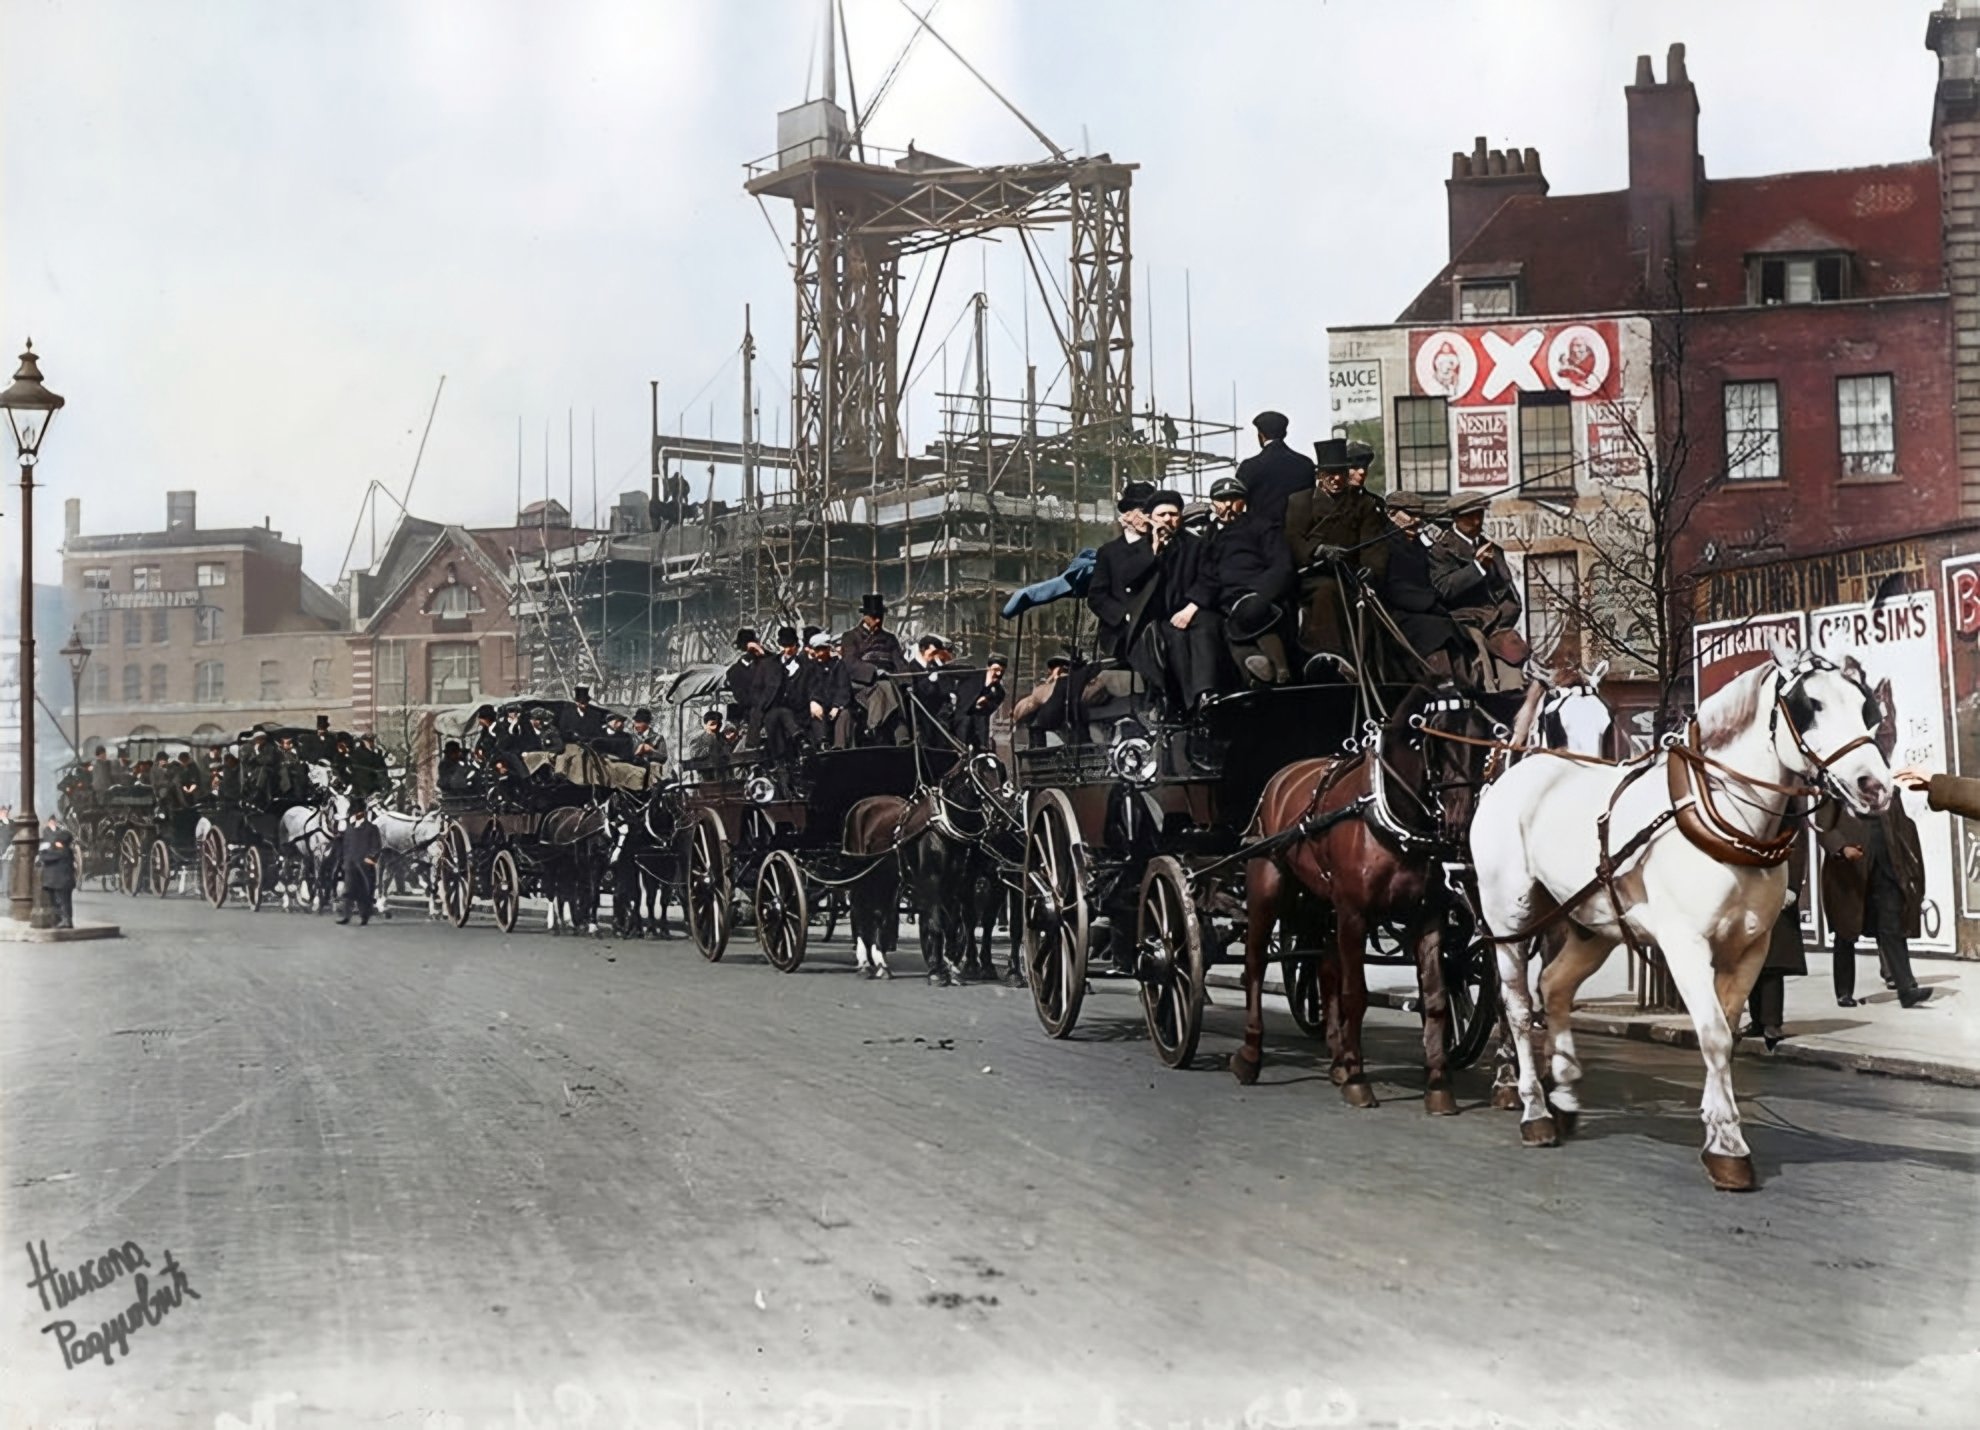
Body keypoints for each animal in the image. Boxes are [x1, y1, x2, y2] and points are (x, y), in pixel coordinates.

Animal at [1227, 677, 1488, 1101]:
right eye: (1438, 740)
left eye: (1482, 739)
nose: (1462, 821)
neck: (1389, 813)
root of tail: (1281, 777)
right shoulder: (1354, 912)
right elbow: (1356, 994)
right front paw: (1357, 1078)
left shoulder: (1427, 912)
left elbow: (1434, 996)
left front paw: (1437, 1084)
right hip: (1267, 885)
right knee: (1255, 963)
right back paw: (1251, 1055)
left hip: (1322, 904)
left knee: (1324, 967)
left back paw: (1336, 1056)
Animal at [1481, 641, 1892, 1188]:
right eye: (1810, 705)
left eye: (1866, 706)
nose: (1875, 786)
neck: (1723, 817)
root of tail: (1513, 775)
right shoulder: (1685, 944)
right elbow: (1713, 1034)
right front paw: (1728, 1144)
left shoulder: (1750, 947)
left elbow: (1728, 1032)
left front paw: (1720, 1131)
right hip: (1509, 919)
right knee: (1519, 1009)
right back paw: (1532, 1107)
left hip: (1592, 923)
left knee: (1555, 986)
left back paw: (1564, 1094)